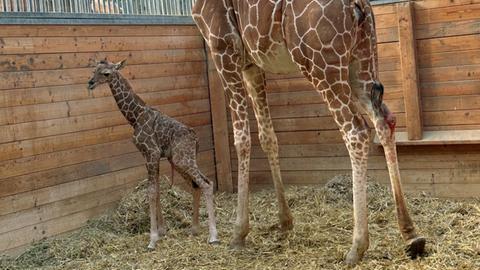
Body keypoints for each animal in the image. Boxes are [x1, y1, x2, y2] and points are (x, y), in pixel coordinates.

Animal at [87, 60, 219, 248]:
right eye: (94, 70)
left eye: (106, 73)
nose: (90, 83)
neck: (134, 117)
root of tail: (195, 138)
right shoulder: (149, 156)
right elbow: (156, 190)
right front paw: (161, 231)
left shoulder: (152, 153)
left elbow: (150, 192)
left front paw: (152, 238)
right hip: (179, 160)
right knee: (197, 185)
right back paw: (194, 229)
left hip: (182, 160)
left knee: (206, 184)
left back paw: (213, 235)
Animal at [191, 0, 424, 264]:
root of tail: (359, 6)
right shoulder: (252, 63)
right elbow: (267, 137)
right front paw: (285, 222)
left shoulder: (223, 47)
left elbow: (242, 138)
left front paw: (239, 233)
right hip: (362, 59)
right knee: (384, 120)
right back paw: (411, 233)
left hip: (321, 64)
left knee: (356, 131)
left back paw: (357, 246)